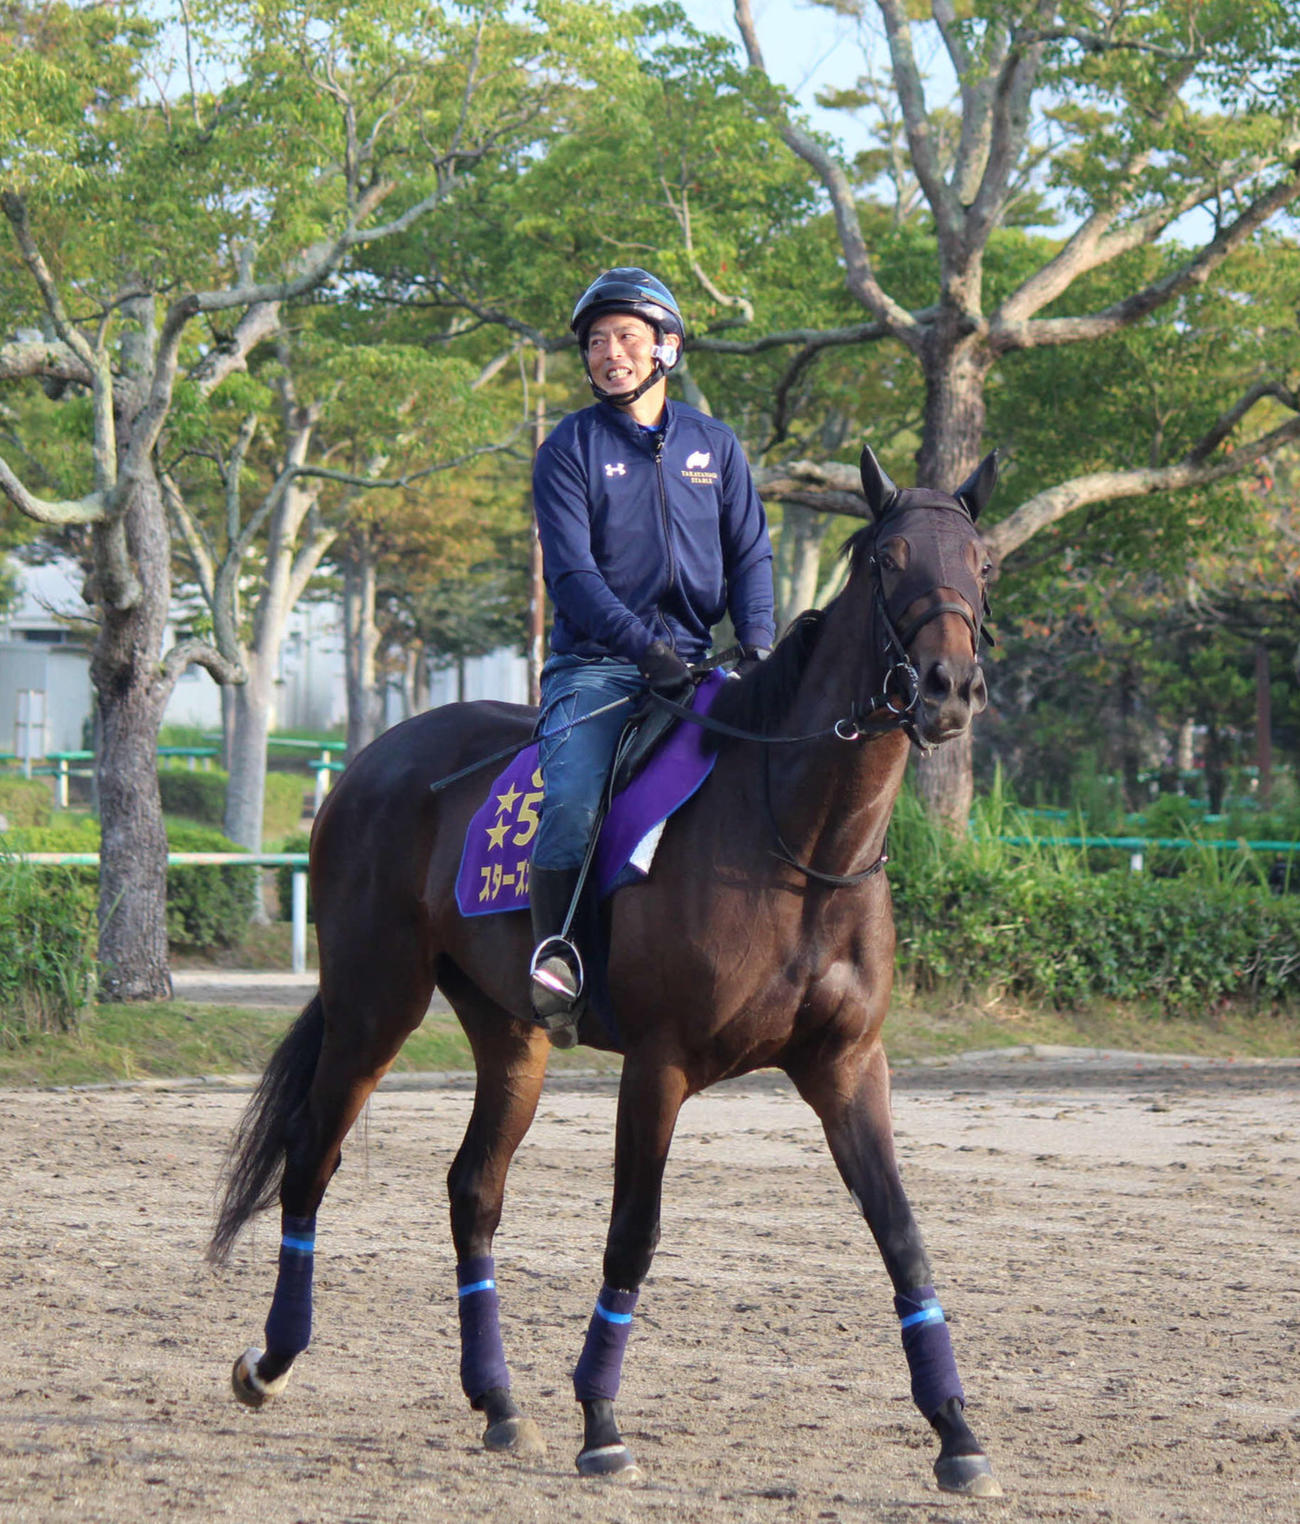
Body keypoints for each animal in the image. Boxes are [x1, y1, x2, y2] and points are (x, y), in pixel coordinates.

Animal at [209, 443, 1002, 1498]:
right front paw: (601, 1418)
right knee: (311, 1158)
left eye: (983, 563)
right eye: (888, 558)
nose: (948, 686)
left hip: (512, 1036)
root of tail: (373, 760)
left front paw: (956, 1431)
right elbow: (634, 1232)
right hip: (374, 1007)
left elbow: (902, 1234)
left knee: (473, 1190)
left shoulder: (846, 1066)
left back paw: (498, 1402)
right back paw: (274, 1359)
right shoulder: (659, 1065)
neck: (796, 839)